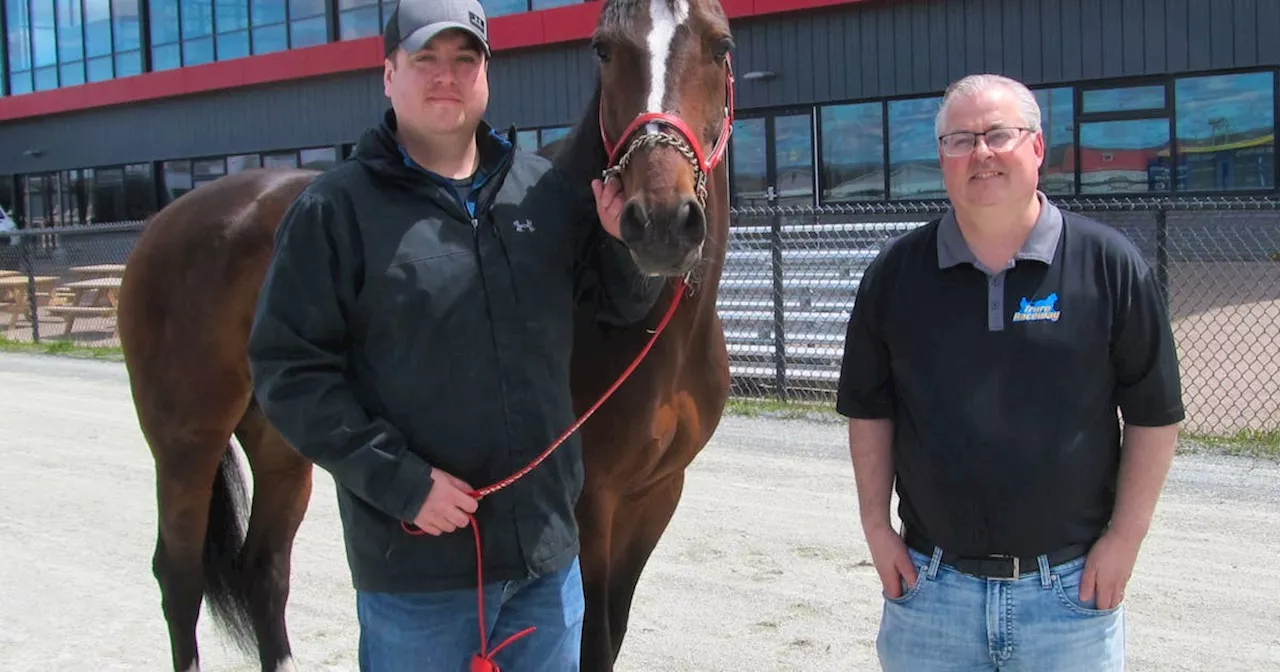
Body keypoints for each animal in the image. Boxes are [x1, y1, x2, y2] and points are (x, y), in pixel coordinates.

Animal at [117, 1, 742, 670]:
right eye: (602, 49)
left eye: (721, 46)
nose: (660, 223)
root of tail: (167, 220)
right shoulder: (590, 504)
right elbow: (591, 641)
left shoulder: (655, 496)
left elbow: (612, 634)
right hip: (186, 447)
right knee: (180, 576)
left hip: (282, 446)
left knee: (266, 567)